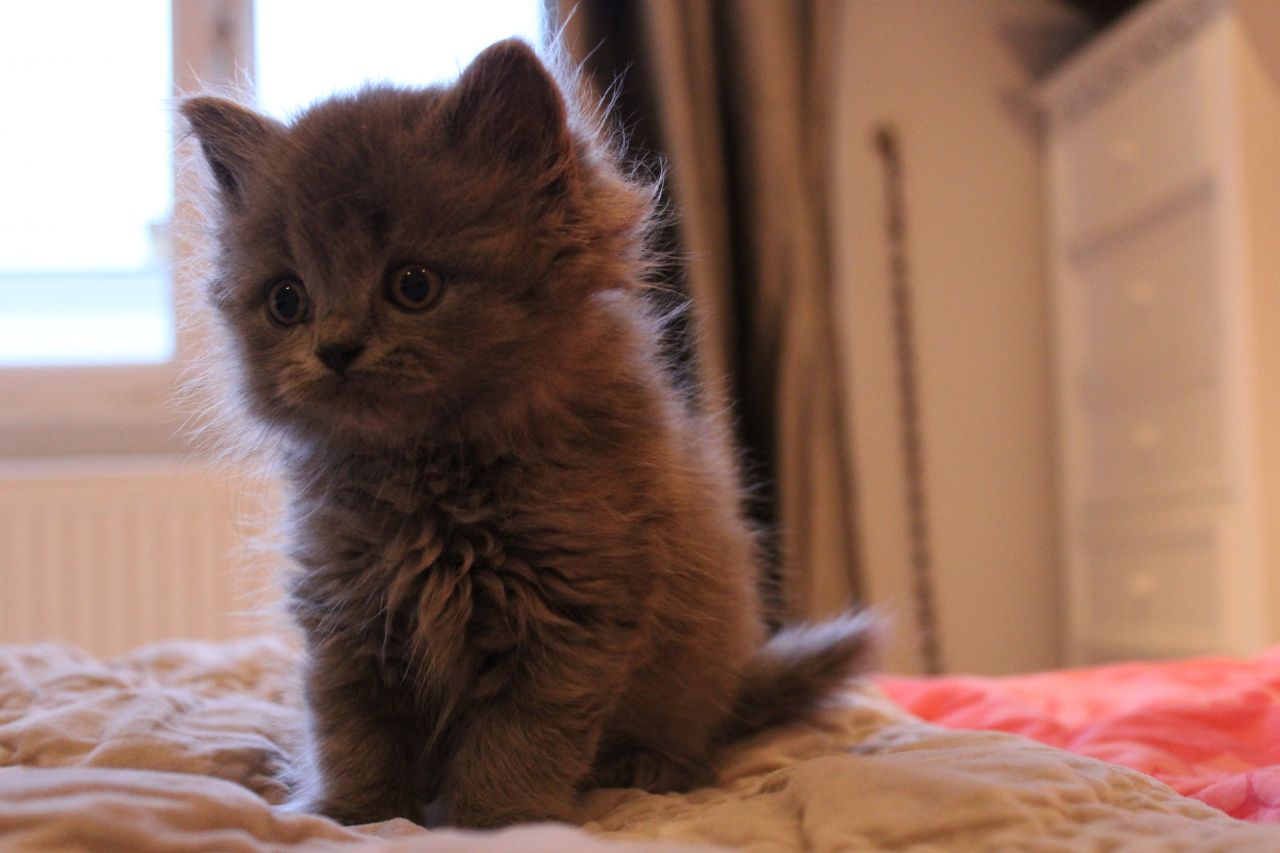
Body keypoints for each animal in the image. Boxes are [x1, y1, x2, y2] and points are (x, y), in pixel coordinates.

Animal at [183, 38, 880, 824]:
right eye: (287, 301)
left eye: (413, 285)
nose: (335, 348)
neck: (434, 474)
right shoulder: (348, 612)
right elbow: (351, 732)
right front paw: (347, 814)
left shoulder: (572, 609)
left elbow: (515, 746)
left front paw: (486, 823)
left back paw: (649, 765)